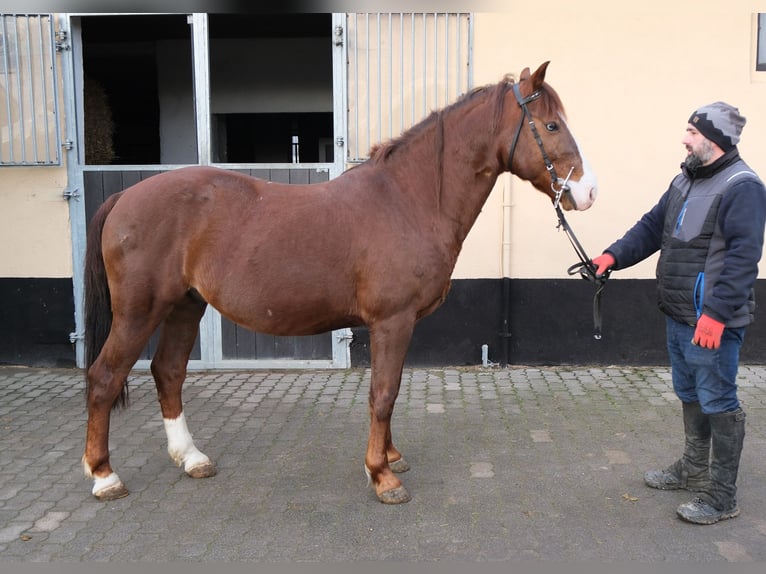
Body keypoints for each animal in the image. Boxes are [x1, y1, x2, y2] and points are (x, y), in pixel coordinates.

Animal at [82, 61, 598, 504]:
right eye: (551, 126)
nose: (588, 191)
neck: (407, 200)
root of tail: (125, 196)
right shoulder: (392, 321)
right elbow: (383, 395)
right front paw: (382, 476)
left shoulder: (399, 325)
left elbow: (391, 390)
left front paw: (391, 457)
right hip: (140, 311)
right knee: (105, 376)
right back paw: (104, 475)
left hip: (185, 306)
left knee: (168, 372)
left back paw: (191, 458)